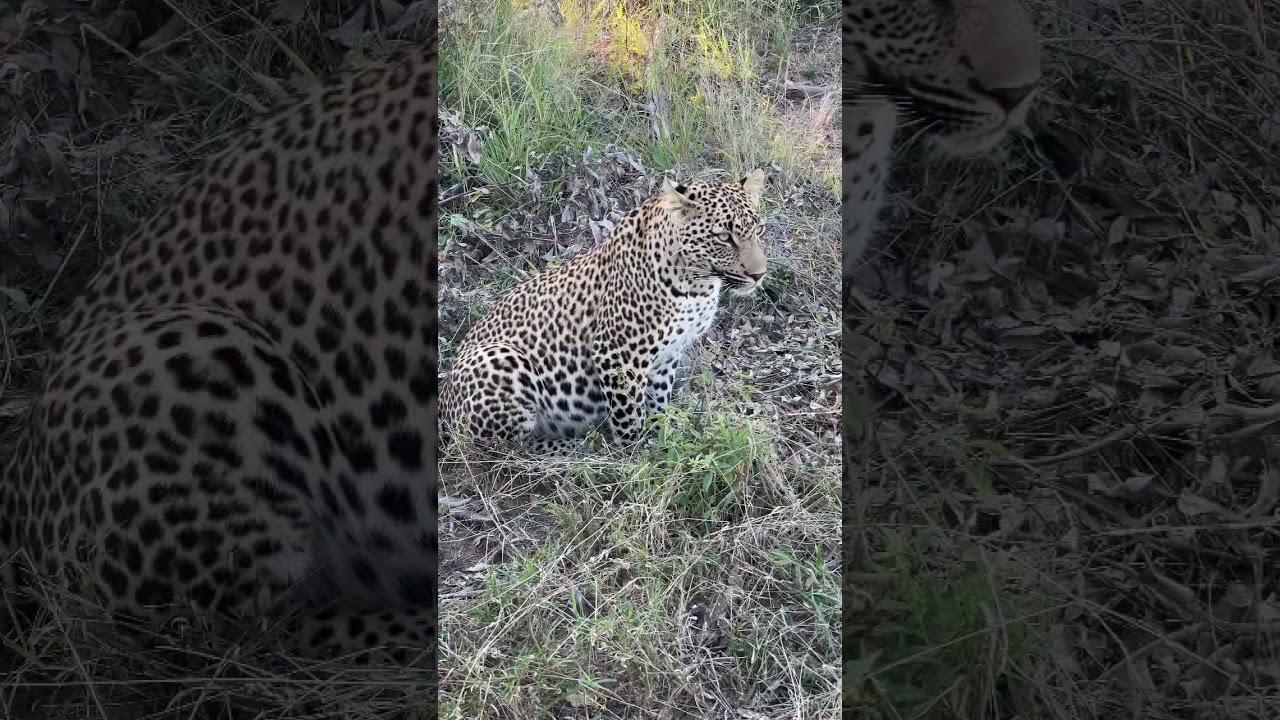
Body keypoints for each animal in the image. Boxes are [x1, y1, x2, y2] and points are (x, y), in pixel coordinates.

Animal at [439, 170, 768, 454]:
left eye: (758, 229)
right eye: (723, 237)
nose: (759, 275)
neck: (697, 284)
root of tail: (442, 405)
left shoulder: (668, 354)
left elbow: (658, 398)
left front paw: (659, 435)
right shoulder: (618, 354)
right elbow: (628, 414)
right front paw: (636, 455)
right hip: (501, 359)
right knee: (503, 450)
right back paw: (579, 447)